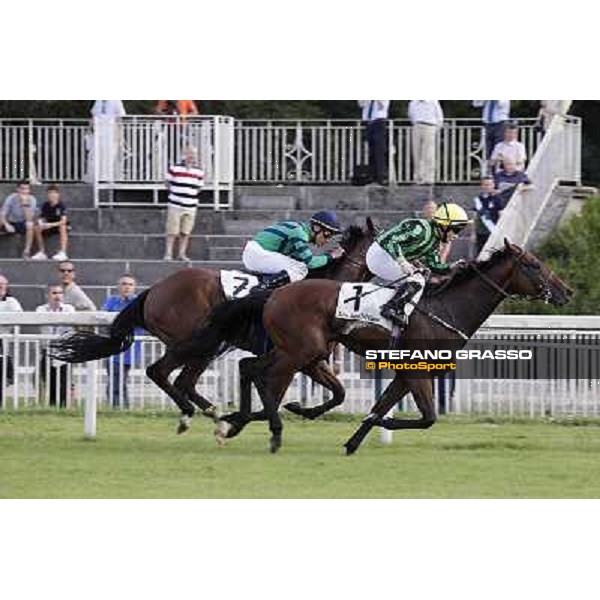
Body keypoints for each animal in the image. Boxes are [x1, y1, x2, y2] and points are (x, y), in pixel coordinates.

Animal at [49, 219, 378, 432]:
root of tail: (153, 291)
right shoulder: (292, 356)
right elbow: (276, 394)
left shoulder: (311, 359)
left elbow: (339, 393)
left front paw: (299, 409)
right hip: (196, 341)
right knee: (163, 373)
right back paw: (194, 413)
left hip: (204, 345)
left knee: (183, 381)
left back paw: (212, 413)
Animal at [177, 238, 572, 450]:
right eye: (534, 265)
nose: (566, 291)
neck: (446, 307)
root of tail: (274, 293)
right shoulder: (416, 371)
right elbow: (425, 418)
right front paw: (386, 426)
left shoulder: (407, 373)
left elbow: (381, 407)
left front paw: (353, 442)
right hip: (300, 350)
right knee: (259, 375)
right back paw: (266, 428)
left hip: (294, 349)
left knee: (249, 369)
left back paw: (239, 420)